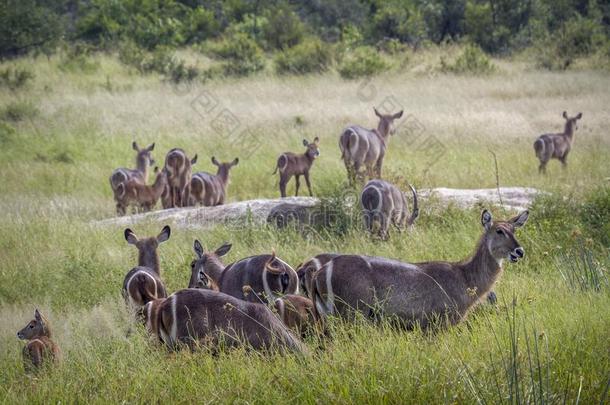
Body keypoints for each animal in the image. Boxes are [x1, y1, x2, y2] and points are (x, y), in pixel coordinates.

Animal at [308, 208, 528, 328]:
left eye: (514, 230)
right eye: (499, 231)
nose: (519, 251)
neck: (464, 277)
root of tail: (321, 271)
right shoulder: (434, 325)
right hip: (351, 315)